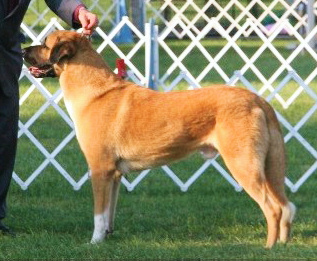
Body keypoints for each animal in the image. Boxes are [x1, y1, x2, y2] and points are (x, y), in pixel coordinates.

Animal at [23, 30, 296, 248]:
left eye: (45, 43)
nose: (24, 49)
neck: (95, 92)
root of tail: (258, 100)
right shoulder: (115, 175)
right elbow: (110, 210)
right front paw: (108, 237)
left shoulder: (100, 170)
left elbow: (99, 214)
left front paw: (94, 242)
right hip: (269, 168)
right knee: (286, 207)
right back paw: (283, 245)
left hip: (244, 165)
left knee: (273, 208)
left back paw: (269, 247)